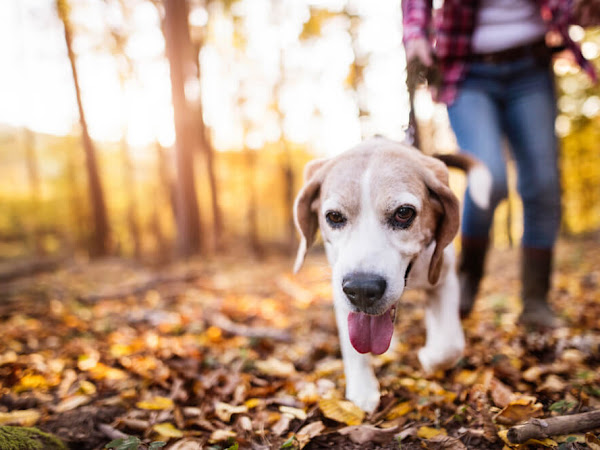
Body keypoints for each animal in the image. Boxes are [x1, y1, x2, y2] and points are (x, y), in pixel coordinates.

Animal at [292, 136, 492, 412]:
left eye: (404, 213)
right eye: (334, 217)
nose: (362, 290)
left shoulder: (443, 279)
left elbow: (450, 346)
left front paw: (429, 357)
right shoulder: (340, 291)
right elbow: (353, 348)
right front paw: (363, 390)